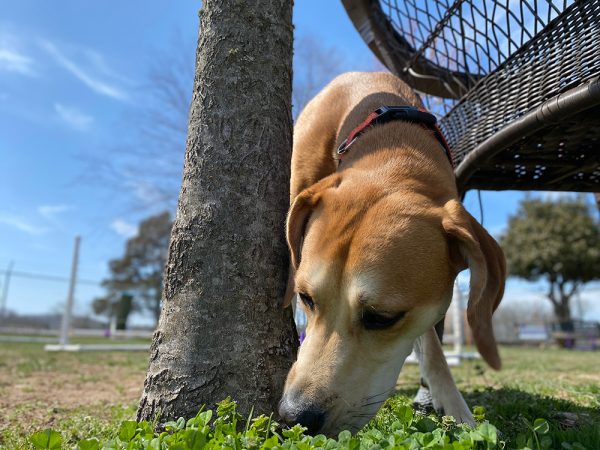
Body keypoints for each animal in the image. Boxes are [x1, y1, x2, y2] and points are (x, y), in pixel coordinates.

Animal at [278, 72, 504, 434]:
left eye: (382, 318)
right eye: (306, 298)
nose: (293, 417)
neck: (395, 149)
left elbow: (431, 344)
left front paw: (455, 406)